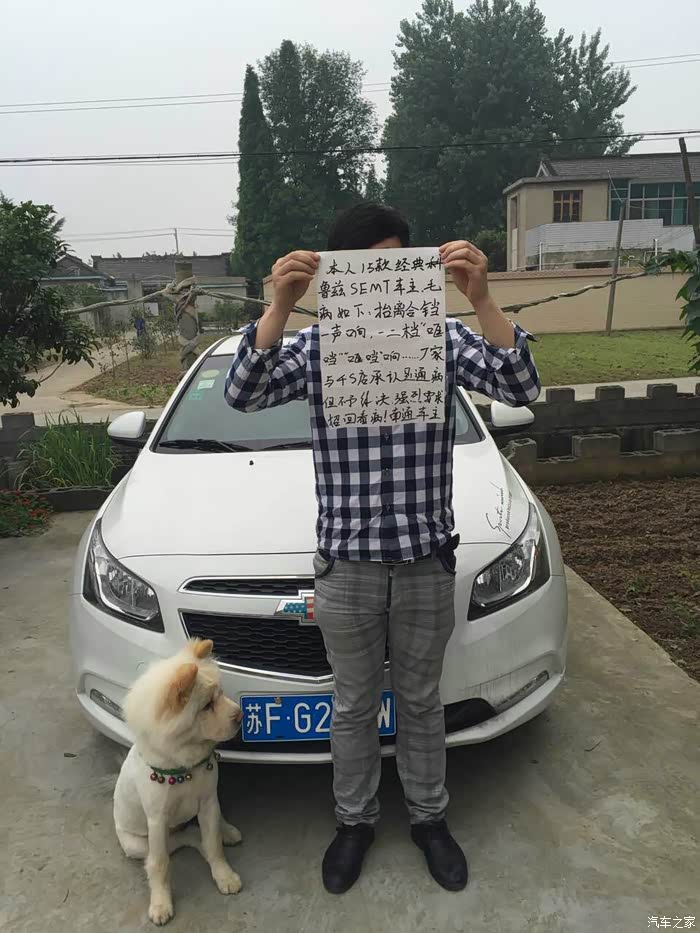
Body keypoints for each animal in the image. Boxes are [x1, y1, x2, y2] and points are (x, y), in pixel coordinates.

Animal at [113, 638, 243, 925]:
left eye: (221, 694)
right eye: (207, 706)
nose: (240, 715)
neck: (185, 766)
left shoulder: (208, 801)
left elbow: (214, 844)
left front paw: (224, 876)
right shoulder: (157, 820)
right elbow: (160, 863)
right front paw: (161, 904)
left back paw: (228, 831)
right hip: (136, 843)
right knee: (177, 843)